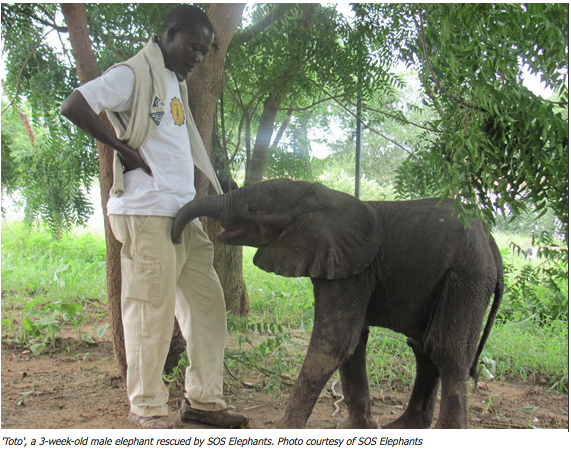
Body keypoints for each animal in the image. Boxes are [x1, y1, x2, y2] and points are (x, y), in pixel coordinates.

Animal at [172, 178, 503, 429]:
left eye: (255, 208)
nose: (175, 237)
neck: (320, 196)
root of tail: (490, 240)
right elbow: (353, 343)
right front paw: (359, 430)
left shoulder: (353, 270)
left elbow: (334, 343)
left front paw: (282, 430)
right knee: (423, 347)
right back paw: (405, 427)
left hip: (467, 275)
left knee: (447, 350)